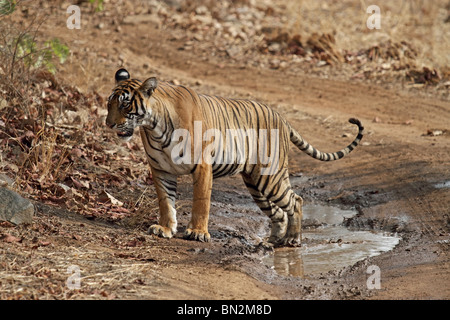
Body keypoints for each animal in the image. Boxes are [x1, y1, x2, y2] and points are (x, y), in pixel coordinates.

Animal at [105, 69, 362, 246]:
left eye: (125, 105)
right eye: (109, 104)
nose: (108, 124)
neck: (154, 127)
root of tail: (281, 117)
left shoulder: (202, 167)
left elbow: (201, 202)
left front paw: (197, 232)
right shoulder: (161, 169)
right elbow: (165, 202)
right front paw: (165, 228)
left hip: (270, 177)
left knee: (295, 200)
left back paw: (292, 239)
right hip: (256, 184)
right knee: (278, 212)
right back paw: (273, 241)